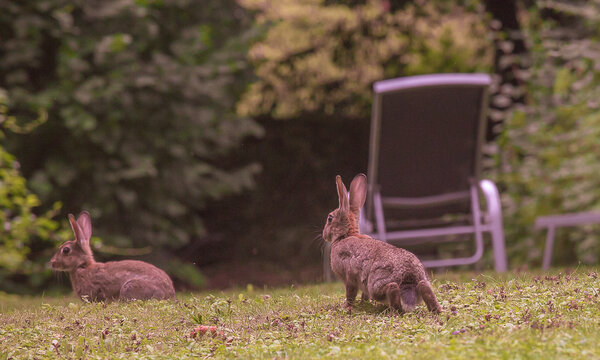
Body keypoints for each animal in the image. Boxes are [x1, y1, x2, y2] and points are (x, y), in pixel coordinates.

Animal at [324, 174, 440, 312]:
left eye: (330, 218)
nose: (324, 235)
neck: (345, 235)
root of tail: (408, 277)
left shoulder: (350, 278)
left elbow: (350, 294)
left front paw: (345, 306)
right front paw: (363, 303)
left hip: (376, 285)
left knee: (392, 288)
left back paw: (394, 311)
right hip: (421, 281)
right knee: (424, 287)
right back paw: (436, 310)